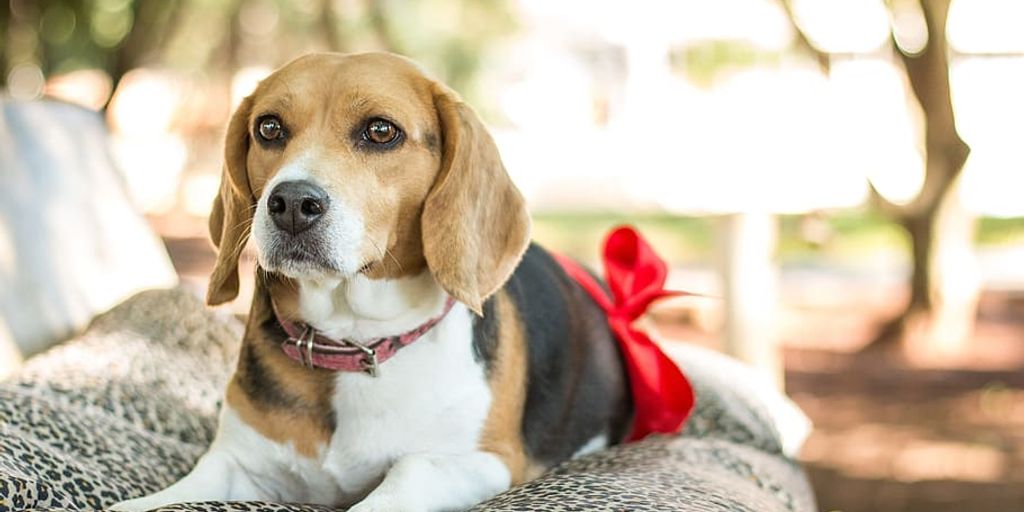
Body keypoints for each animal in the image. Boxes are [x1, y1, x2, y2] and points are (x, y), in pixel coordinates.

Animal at [116, 52, 634, 512]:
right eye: (269, 128)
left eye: (381, 131)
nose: (291, 203)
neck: (353, 342)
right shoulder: (236, 460)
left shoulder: (482, 462)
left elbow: (404, 476)